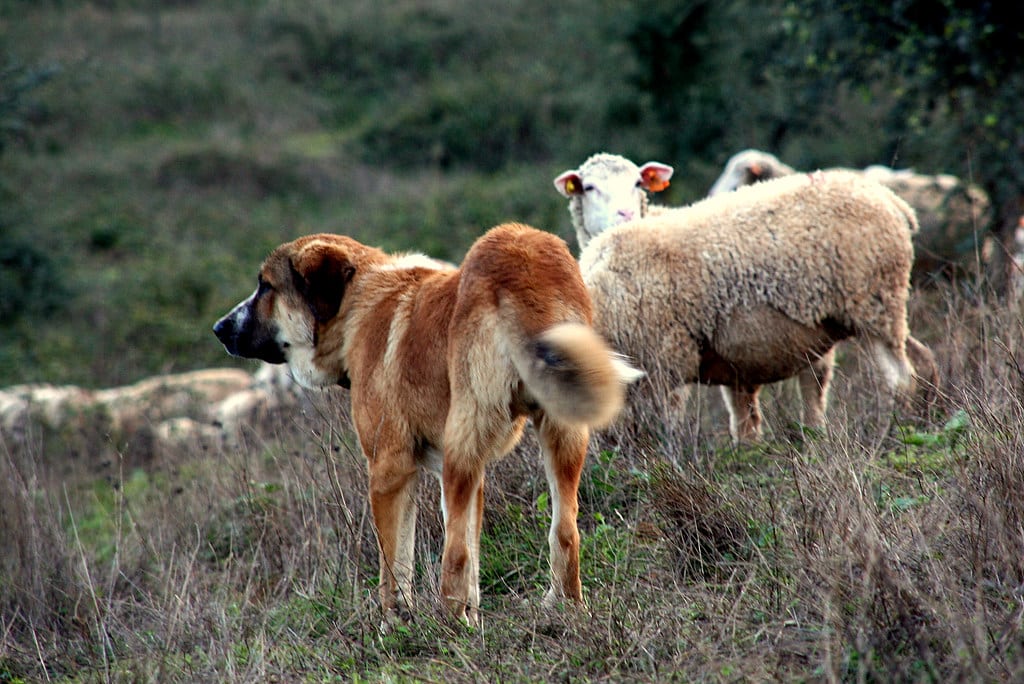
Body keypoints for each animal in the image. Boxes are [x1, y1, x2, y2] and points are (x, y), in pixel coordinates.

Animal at [211, 224, 634, 626]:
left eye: (266, 286)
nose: (219, 328)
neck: (357, 306)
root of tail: (522, 263)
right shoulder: (463, 473)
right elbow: (472, 559)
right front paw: (472, 616)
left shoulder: (390, 470)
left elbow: (395, 564)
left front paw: (395, 624)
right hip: (560, 435)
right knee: (564, 530)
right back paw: (565, 609)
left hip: (461, 444)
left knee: (455, 551)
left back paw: (449, 623)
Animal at [552, 154, 937, 440]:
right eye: (588, 187)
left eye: (637, 183)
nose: (625, 214)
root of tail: (892, 201)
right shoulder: (727, 363)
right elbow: (744, 423)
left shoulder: (665, 361)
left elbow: (664, 430)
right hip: (883, 309)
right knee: (922, 360)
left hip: (872, 305)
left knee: (898, 379)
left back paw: (891, 435)